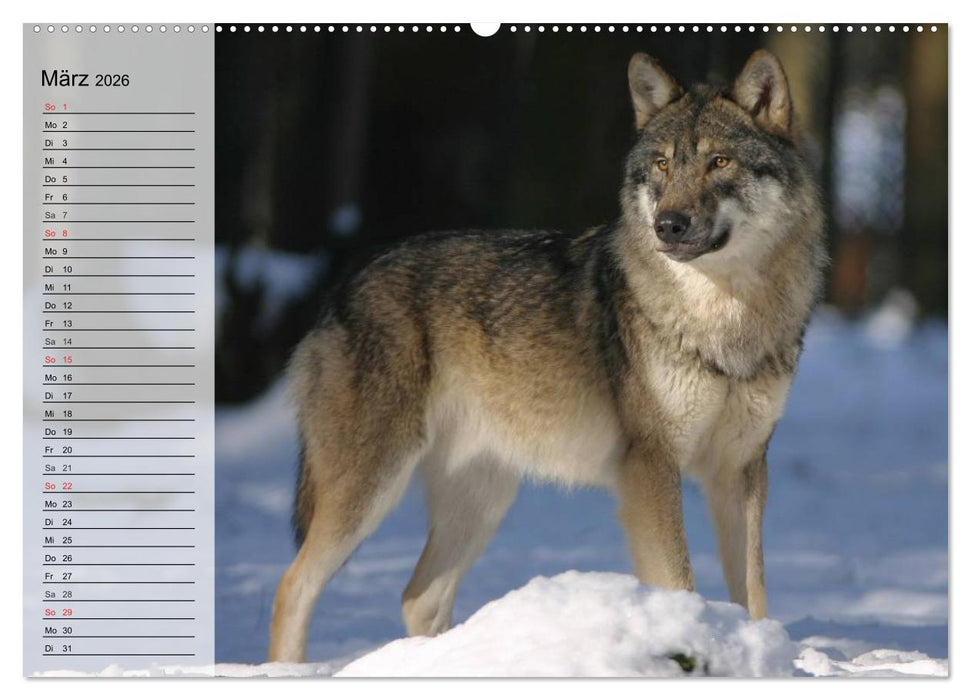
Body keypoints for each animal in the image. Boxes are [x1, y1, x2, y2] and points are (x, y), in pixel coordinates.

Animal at [268, 49, 826, 662]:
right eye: (661, 165)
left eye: (719, 162)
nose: (668, 225)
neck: (724, 319)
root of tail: (343, 285)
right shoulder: (650, 466)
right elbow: (680, 581)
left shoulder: (742, 469)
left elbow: (754, 593)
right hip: (371, 488)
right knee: (293, 584)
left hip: (483, 501)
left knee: (418, 596)